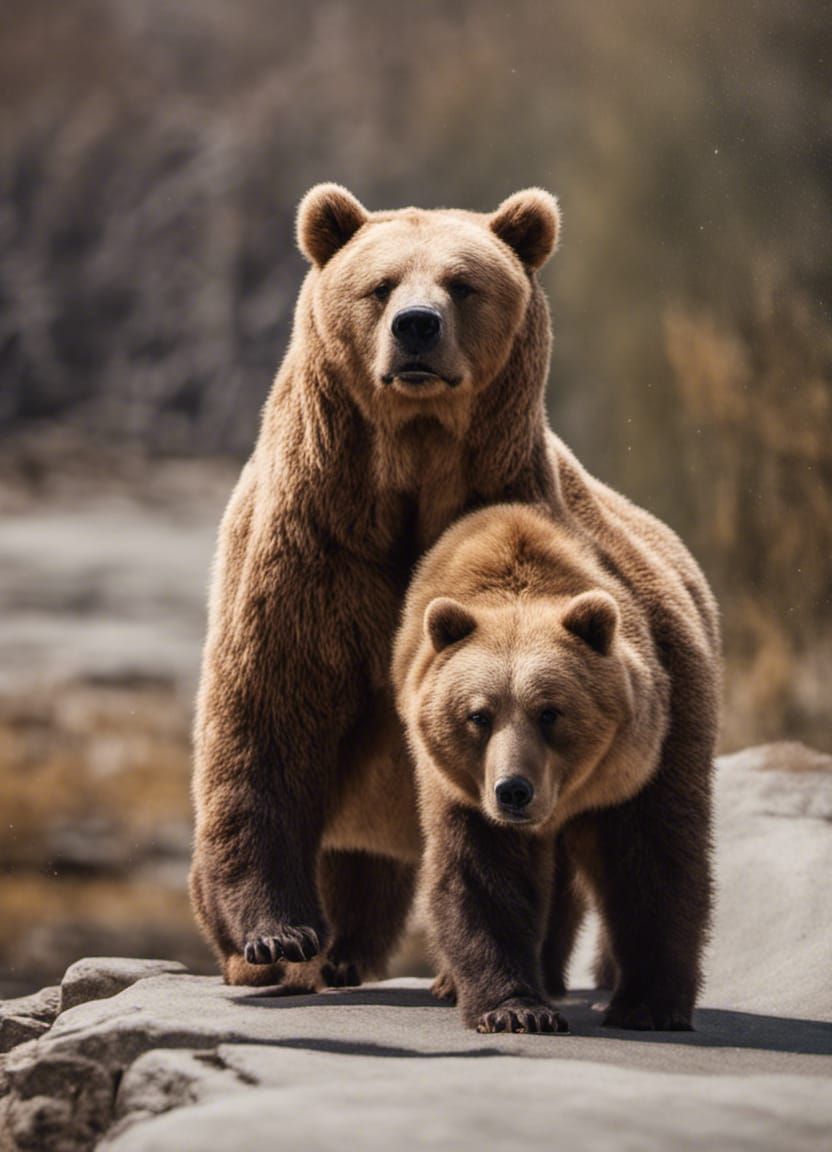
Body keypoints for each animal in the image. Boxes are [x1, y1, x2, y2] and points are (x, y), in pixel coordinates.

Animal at [189, 183, 564, 988]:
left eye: (462, 283)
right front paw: (275, 936)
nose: (417, 326)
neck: (410, 477)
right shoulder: (314, 553)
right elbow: (266, 714)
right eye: (381, 284)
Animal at [392, 502, 720, 1033]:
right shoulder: (461, 785)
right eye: (478, 715)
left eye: (549, 712)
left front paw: (649, 1005)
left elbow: (654, 860)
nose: (513, 791)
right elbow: (483, 870)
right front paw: (515, 1008)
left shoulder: (653, 750)